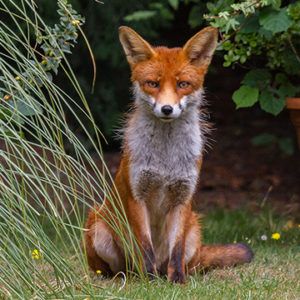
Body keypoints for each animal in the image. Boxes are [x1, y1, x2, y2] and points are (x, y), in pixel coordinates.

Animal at [84, 25, 253, 284]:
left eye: (183, 84)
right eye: (152, 84)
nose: (166, 109)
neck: (165, 160)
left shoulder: (182, 196)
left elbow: (176, 249)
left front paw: (178, 282)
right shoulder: (137, 195)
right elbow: (145, 247)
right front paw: (149, 281)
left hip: (194, 231)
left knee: (183, 260)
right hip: (98, 228)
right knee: (119, 268)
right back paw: (131, 277)